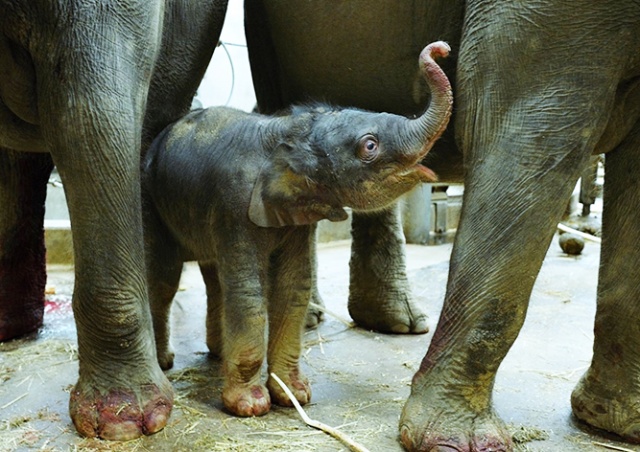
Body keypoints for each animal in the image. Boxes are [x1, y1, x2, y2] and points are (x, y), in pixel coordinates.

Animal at [142, 42, 452, 416]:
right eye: (369, 145)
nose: (442, 49)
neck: (287, 131)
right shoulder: (234, 206)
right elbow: (248, 293)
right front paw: (250, 405)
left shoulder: (294, 216)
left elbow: (293, 287)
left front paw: (294, 394)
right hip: (151, 200)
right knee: (164, 279)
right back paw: (165, 362)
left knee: (214, 278)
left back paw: (217, 355)